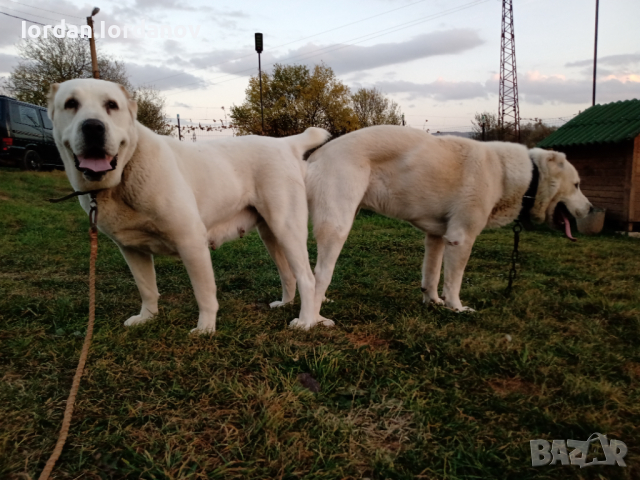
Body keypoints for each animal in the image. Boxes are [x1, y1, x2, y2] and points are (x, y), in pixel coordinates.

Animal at [48, 79, 330, 334]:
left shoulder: (191, 242)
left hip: (286, 228)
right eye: (71, 104)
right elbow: (146, 288)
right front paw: (147, 317)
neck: (124, 173)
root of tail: (284, 142)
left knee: (307, 278)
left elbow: (204, 294)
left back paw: (306, 321)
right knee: (288, 274)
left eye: (111, 105)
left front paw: (205, 329)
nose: (93, 127)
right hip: (270, 234)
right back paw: (286, 304)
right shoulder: (131, 249)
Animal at [302, 124, 592, 326]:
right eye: (577, 185)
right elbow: (454, 281)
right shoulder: (461, 238)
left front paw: (433, 303)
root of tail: (314, 157)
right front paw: (456, 308)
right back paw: (313, 317)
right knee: (320, 272)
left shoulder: (436, 237)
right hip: (338, 226)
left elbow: (431, 275)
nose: (591, 209)